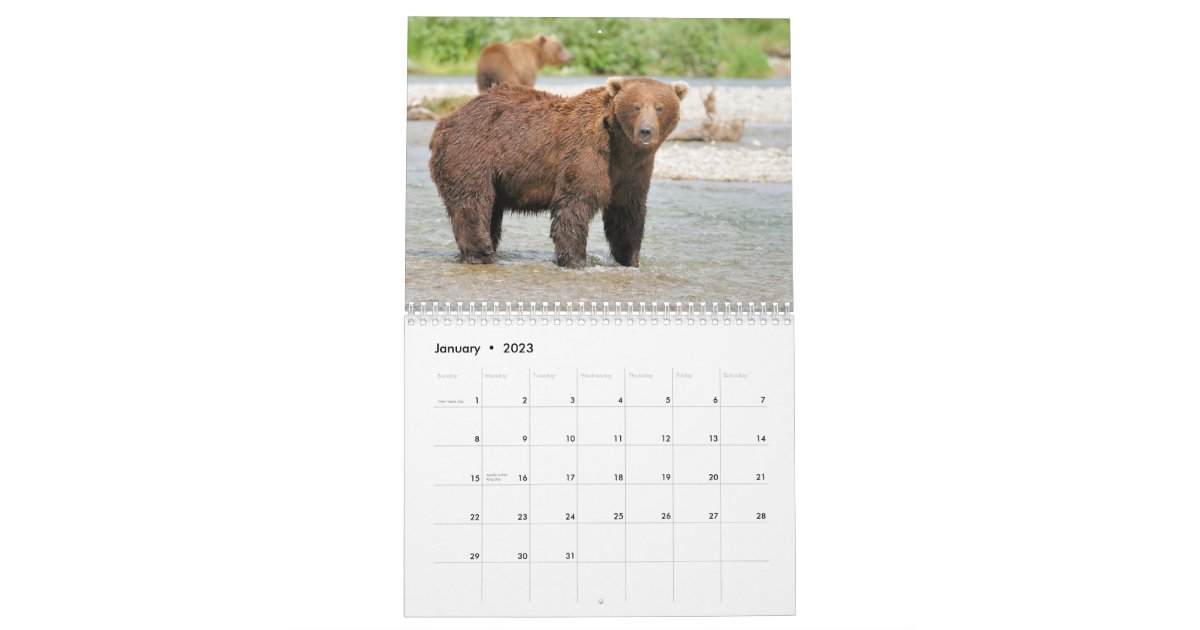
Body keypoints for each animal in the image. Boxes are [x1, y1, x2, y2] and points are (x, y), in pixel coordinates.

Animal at [428, 77, 689, 269]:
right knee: (473, 201)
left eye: (660, 107)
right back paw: (482, 253)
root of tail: (446, 119)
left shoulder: (632, 172)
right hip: (473, 152)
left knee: (491, 209)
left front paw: (630, 259)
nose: (645, 131)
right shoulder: (586, 153)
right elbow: (574, 205)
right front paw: (575, 260)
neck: (621, 146)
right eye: (636, 106)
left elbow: (627, 213)